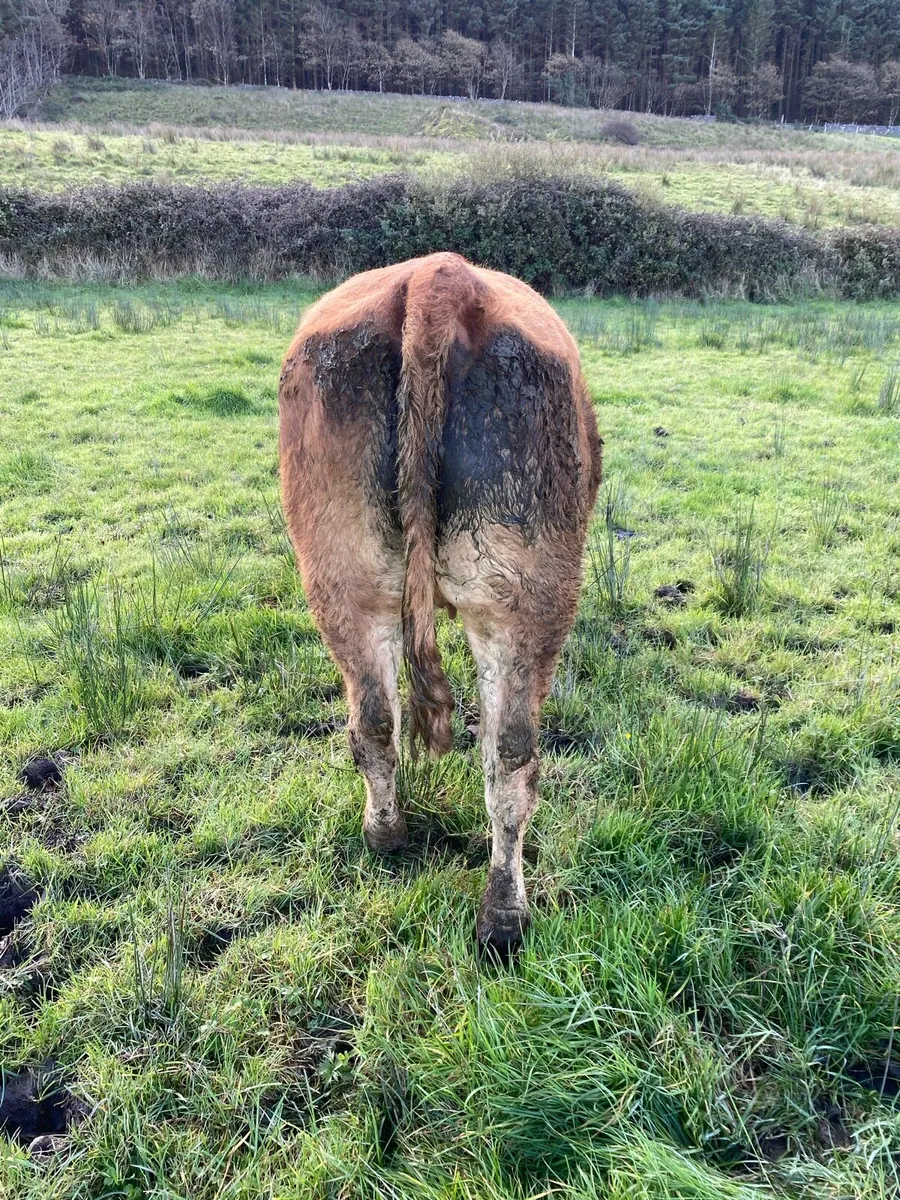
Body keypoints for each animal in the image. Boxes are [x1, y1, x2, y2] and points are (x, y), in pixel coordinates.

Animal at [279, 252, 602, 953]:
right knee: (512, 753)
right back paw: (505, 917)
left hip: (343, 579)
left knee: (375, 722)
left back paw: (386, 835)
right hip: (527, 598)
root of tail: (439, 276)